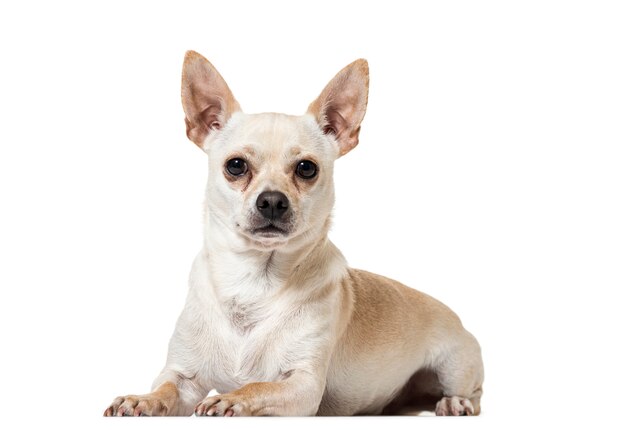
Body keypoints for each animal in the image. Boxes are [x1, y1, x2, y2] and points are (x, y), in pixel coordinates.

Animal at [102, 51, 482, 416]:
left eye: (306, 168)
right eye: (235, 166)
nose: (272, 200)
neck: (254, 283)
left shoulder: (303, 385)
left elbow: (258, 387)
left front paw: (231, 399)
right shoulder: (182, 375)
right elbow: (165, 389)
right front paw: (140, 399)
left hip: (455, 366)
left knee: (472, 395)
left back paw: (453, 403)